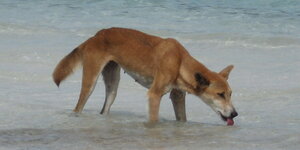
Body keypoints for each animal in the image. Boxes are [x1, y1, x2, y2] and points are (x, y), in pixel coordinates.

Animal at [52, 27, 238, 123]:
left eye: (230, 94)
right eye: (220, 94)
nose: (235, 114)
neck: (179, 62)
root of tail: (96, 35)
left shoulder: (178, 96)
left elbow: (182, 119)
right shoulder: (154, 94)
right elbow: (154, 120)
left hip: (113, 85)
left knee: (104, 109)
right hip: (90, 82)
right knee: (78, 106)